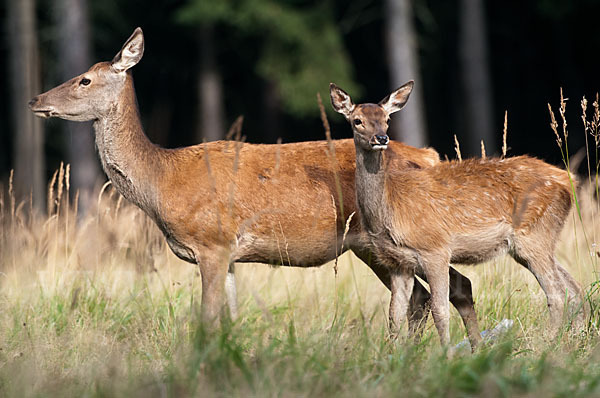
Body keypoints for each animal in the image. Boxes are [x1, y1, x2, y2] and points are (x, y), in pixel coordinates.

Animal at [31, 27, 482, 346]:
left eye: (84, 80)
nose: (35, 99)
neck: (161, 181)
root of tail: (430, 155)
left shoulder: (211, 241)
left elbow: (207, 320)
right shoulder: (227, 253)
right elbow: (229, 321)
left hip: (394, 238)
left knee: (438, 292)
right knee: (433, 294)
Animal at [330, 81, 584, 346]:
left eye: (387, 119)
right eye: (357, 120)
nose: (381, 137)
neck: (388, 211)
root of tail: (569, 181)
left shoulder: (435, 249)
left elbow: (439, 309)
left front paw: (446, 352)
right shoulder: (397, 263)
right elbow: (394, 315)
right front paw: (392, 353)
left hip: (534, 235)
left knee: (556, 294)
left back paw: (546, 342)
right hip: (535, 242)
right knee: (574, 287)